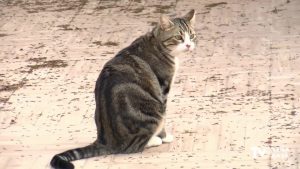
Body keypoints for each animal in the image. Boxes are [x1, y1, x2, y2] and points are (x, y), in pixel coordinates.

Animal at [51, 9, 197, 169]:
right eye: (178, 37)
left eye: (192, 35)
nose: (189, 45)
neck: (157, 42)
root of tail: (106, 141)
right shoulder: (163, 89)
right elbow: (164, 121)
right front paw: (164, 137)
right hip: (154, 110)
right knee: (134, 146)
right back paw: (153, 141)